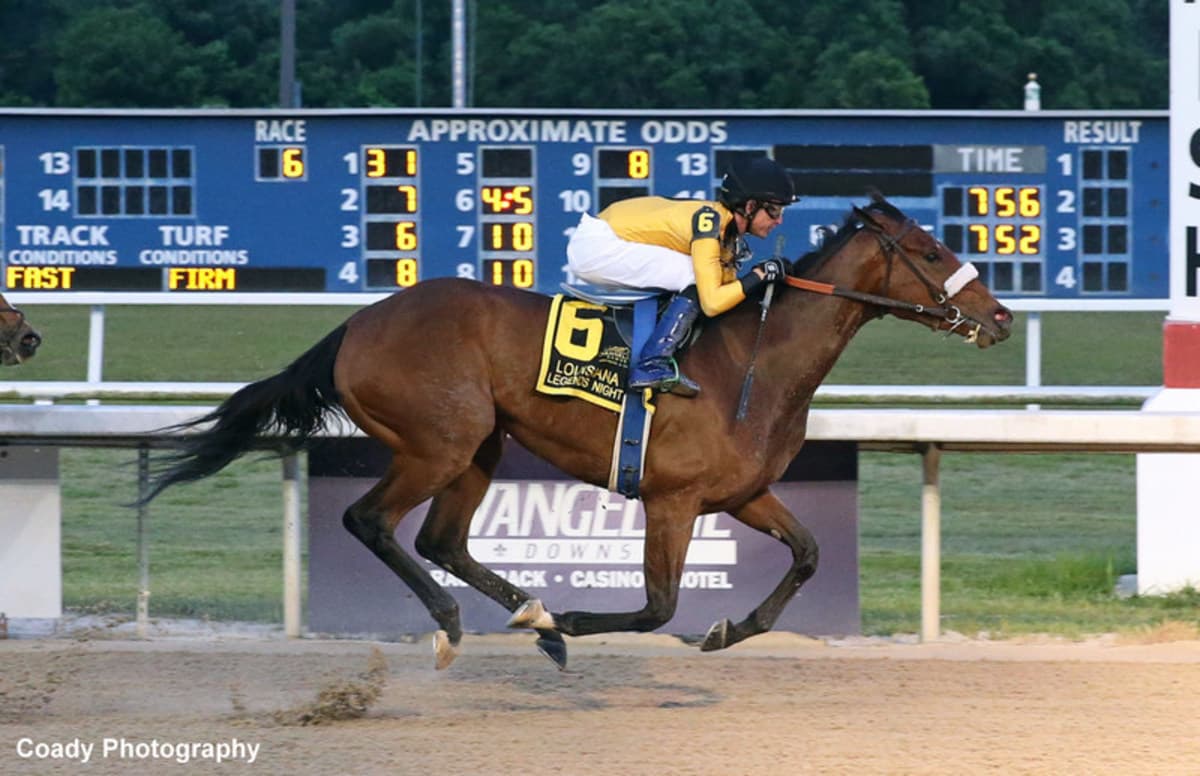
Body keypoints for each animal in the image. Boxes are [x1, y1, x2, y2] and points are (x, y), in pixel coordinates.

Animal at [145, 193, 1013, 669]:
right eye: (931, 248)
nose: (1001, 317)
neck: (750, 360)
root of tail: (359, 322)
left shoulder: (742, 493)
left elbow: (806, 555)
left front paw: (729, 630)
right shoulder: (672, 500)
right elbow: (658, 607)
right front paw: (577, 620)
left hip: (482, 443)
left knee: (440, 539)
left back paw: (529, 616)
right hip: (439, 440)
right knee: (371, 521)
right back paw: (465, 624)